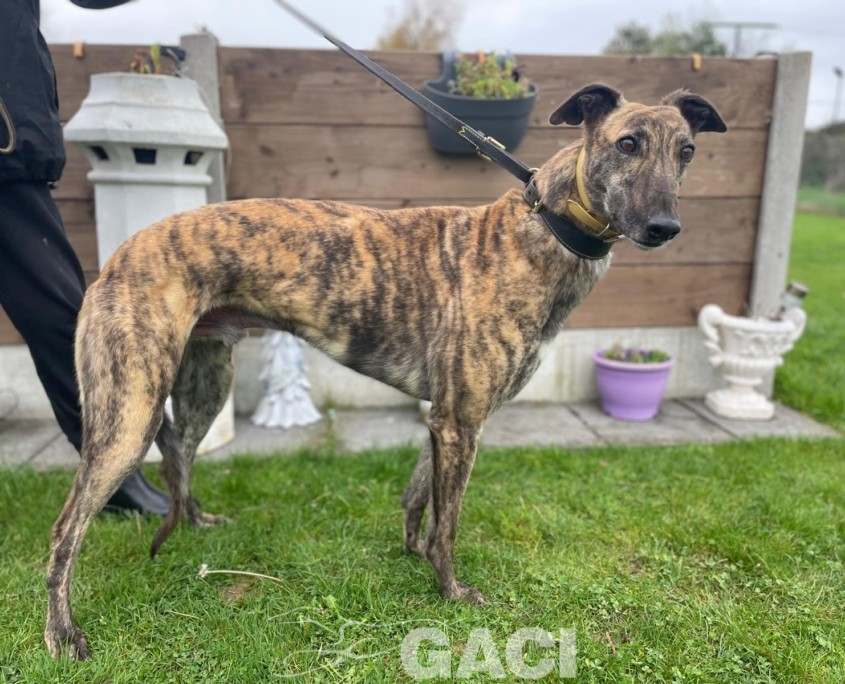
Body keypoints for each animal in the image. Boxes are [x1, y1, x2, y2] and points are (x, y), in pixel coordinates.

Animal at [44, 84, 726, 659]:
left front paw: (411, 558)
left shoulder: (445, 419)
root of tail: (117, 257)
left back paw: (195, 527)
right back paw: (63, 634)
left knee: (178, 453)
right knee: (65, 529)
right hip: (126, 417)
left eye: (687, 150)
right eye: (627, 143)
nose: (665, 228)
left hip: (202, 383)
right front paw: (452, 594)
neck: (541, 227)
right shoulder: (462, 423)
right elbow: (448, 523)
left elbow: (417, 499)